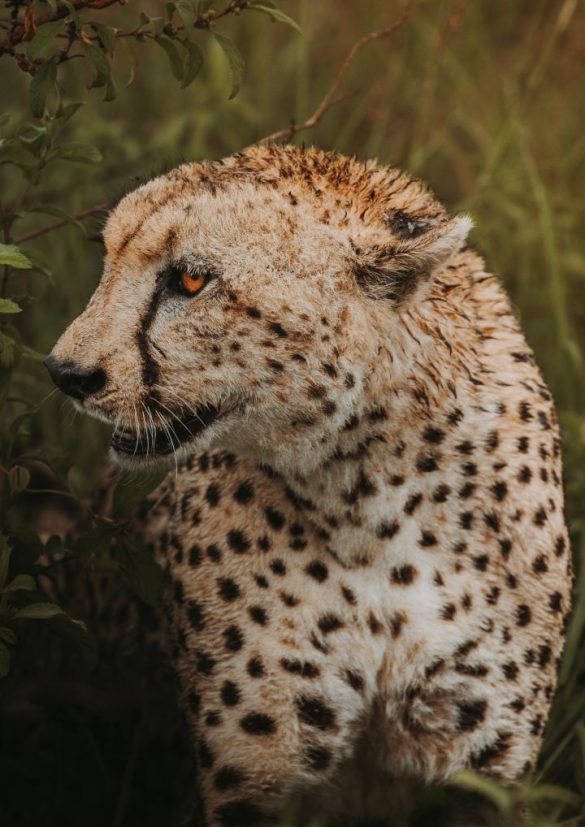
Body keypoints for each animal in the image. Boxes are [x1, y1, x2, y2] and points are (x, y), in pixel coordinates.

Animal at [45, 144, 572, 827]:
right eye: (109, 257)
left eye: (189, 280)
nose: (66, 372)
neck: (370, 488)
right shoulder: (259, 782)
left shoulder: (480, 775)